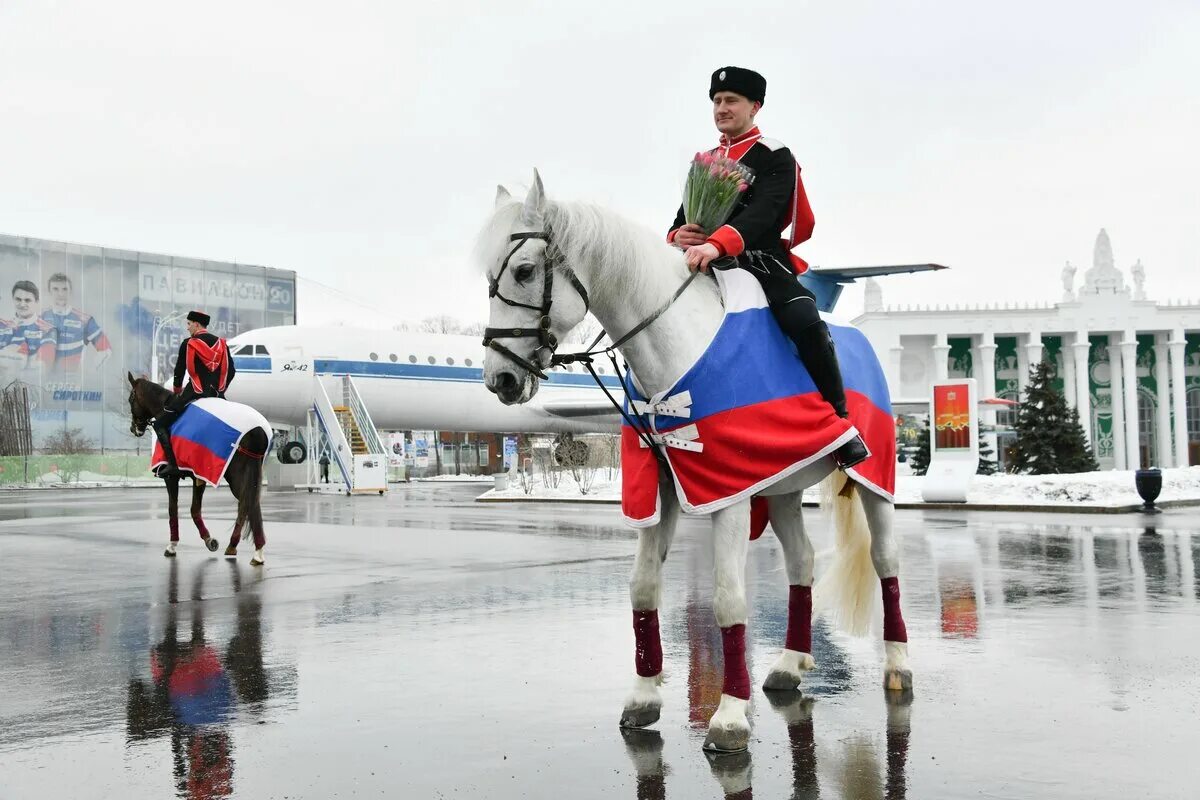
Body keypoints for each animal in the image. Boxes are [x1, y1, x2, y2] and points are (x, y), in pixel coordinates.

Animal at [125, 374, 268, 566]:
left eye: (131, 399)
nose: (134, 428)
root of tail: (257, 429)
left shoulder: (172, 477)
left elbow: (174, 509)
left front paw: (173, 545)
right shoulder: (198, 477)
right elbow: (194, 509)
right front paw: (209, 540)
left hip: (237, 475)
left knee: (248, 505)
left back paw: (255, 552)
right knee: (248, 504)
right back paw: (239, 547)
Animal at [477, 172, 907, 753]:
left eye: (523, 271)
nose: (499, 378)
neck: (676, 346)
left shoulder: (728, 494)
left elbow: (727, 599)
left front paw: (729, 715)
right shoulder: (660, 489)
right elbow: (642, 586)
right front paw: (643, 695)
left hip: (873, 483)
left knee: (886, 560)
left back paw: (898, 665)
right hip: (783, 488)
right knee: (801, 563)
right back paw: (790, 663)